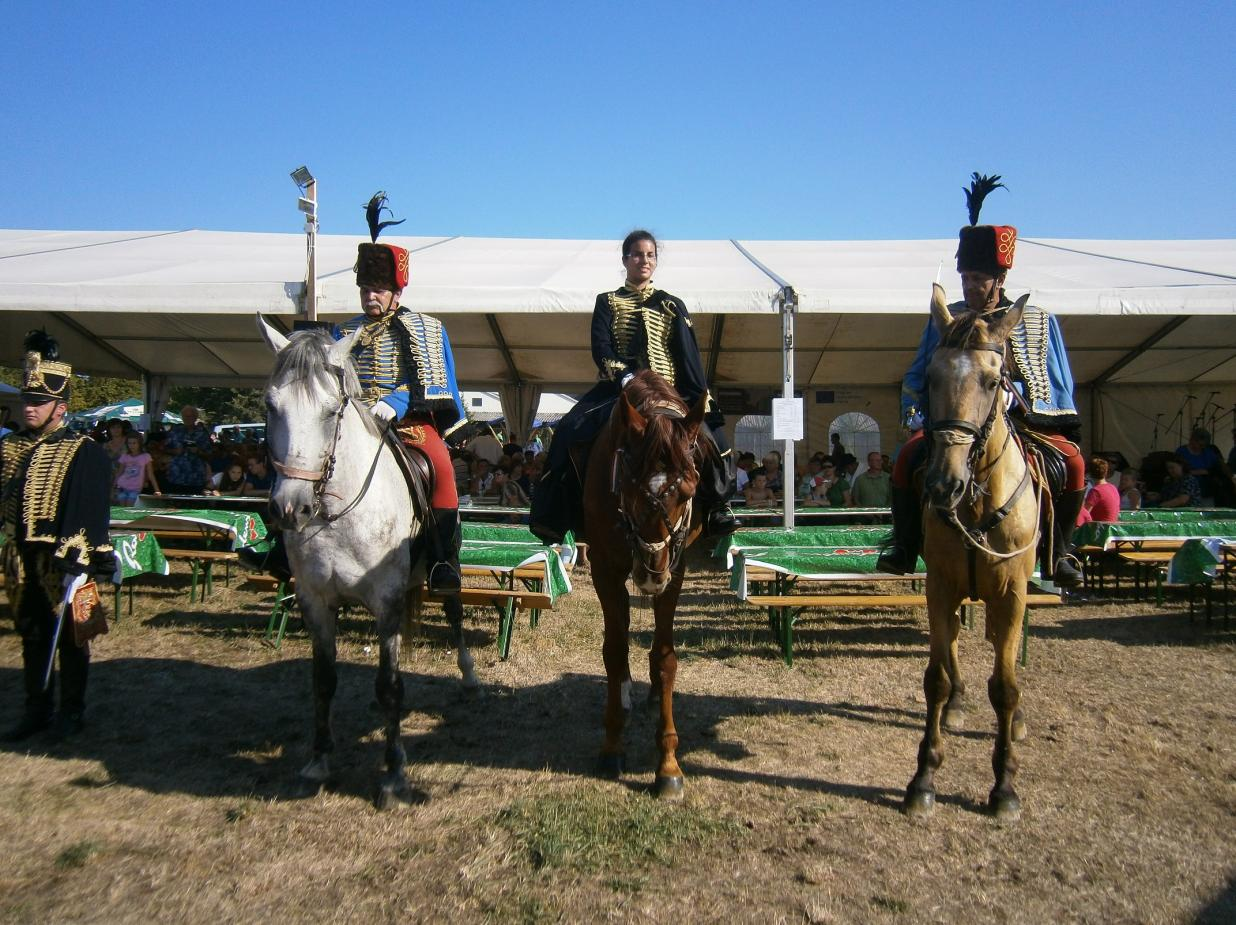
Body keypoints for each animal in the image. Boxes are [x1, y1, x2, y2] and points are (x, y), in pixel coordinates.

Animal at [257, 319, 477, 811]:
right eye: (270, 406)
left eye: (331, 410)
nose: (290, 508)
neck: (334, 513)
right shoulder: (315, 601)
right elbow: (323, 680)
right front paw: (317, 763)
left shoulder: (387, 602)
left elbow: (389, 686)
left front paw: (394, 776)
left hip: (447, 562)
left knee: (453, 611)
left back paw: (470, 675)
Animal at [585, 368, 706, 796]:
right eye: (628, 488)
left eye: (687, 491)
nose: (650, 572)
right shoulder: (604, 568)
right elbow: (614, 651)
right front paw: (611, 745)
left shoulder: (677, 571)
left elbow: (666, 658)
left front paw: (668, 765)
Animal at [904, 285, 1038, 821]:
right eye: (931, 377)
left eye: (992, 380)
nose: (944, 484)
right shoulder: (940, 587)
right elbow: (937, 678)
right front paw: (923, 778)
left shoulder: (1012, 594)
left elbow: (1005, 686)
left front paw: (1005, 786)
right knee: (956, 646)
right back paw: (959, 705)